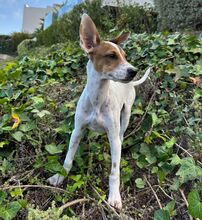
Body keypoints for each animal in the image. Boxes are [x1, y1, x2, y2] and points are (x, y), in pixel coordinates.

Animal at [48, 13, 151, 210]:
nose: (134, 70)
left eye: (125, 56)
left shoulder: (112, 135)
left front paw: (114, 196)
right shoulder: (77, 131)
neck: (98, 98)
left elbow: (114, 172)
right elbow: (68, 159)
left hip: (126, 115)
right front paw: (60, 177)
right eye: (111, 55)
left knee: (121, 135)